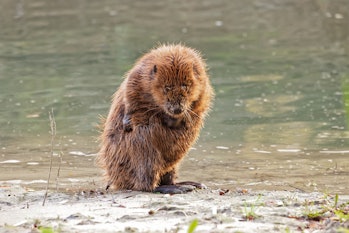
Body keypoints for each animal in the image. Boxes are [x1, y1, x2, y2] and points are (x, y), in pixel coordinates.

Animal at [96, 44, 213, 194]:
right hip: (142, 147)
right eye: (167, 87)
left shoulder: (203, 81)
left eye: (185, 85)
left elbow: (200, 101)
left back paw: (192, 184)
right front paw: (127, 121)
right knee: (146, 181)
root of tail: (116, 180)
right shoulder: (140, 74)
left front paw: (179, 118)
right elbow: (130, 93)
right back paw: (179, 188)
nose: (176, 109)